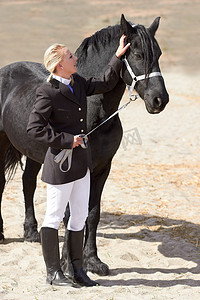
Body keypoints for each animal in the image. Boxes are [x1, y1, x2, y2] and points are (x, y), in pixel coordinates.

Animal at [0, 15, 169, 276]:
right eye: (139, 54)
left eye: (159, 54)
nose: (160, 100)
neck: (94, 112)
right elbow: (71, 215)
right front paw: (66, 265)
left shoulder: (102, 169)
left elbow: (92, 213)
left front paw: (93, 261)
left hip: (34, 152)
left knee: (28, 183)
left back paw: (31, 232)